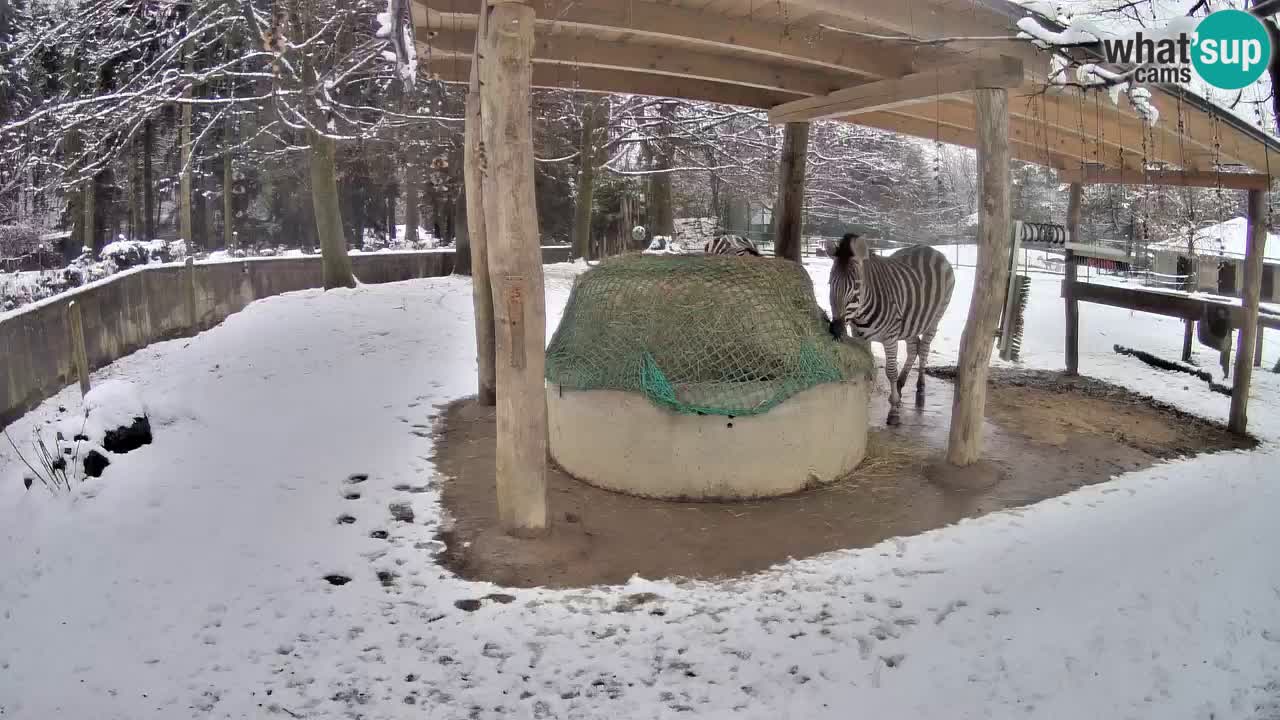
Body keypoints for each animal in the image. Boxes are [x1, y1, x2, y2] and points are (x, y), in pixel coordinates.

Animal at [829, 233, 952, 422]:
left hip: (934, 318)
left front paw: (893, 410)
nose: (835, 330)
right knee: (913, 349)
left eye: (856, 286)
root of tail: (931, 249)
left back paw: (920, 386)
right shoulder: (859, 336)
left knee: (924, 349)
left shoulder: (891, 337)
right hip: (910, 321)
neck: (861, 313)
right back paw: (901, 385)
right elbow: (867, 367)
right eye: (830, 283)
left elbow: (890, 371)